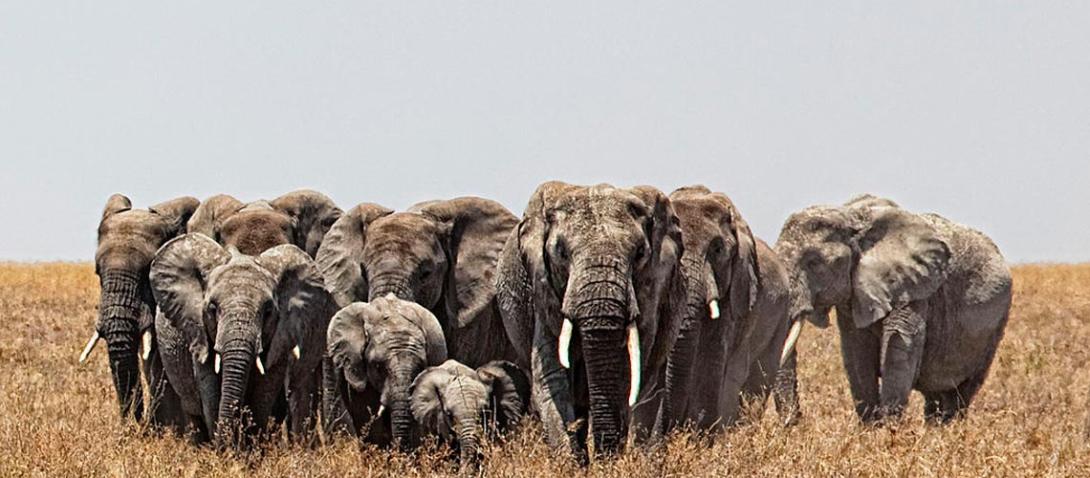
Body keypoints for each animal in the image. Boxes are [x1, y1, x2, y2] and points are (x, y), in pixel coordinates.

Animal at [149, 234, 338, 446]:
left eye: (268, 311)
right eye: (212, 309)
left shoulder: (279, 338)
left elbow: (263, 396)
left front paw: (249, 450)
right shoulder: (200, 332)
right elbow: (211, 394)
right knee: (193, 413)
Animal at [494, 181, 685, 462]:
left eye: (640, 253)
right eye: (561, 253)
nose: (605, 457)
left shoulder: (652, 289)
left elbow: (627, 372)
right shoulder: (543, 289)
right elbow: (551, 374)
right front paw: (571, 462)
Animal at [775, 195, 1012, 423]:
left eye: (814, 263)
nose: (793, 424)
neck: (853, 217)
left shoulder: (914, 285)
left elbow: (899, 345)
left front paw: (889, 430)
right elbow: (856, 353)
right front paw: (872, 429)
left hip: (993, 328)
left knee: (961, 392)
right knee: (934, 396)